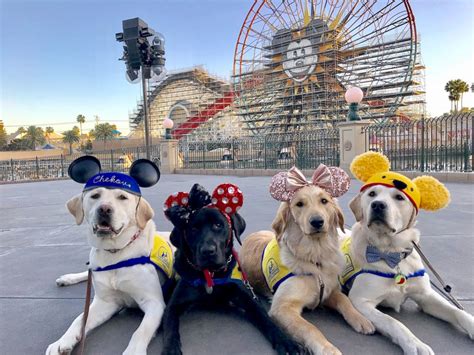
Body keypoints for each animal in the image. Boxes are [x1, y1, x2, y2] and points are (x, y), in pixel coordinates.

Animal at [45, 158, 172, 355]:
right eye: (95, 196)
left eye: (122, 197)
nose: (104, 209)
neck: (115, 252)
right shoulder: (106, 302)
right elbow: (79, 319)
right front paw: (63, 341)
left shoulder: (154, 302)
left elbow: (140, 331)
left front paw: (133, 351)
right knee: (88, 270)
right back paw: (67, 278)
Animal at [163, 185, 304, 354]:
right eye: (193, 229)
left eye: (218, 225)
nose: (208, 251)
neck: (211, 275)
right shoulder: (173, 305)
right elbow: (170, 328)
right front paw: (171, 349)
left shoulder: (247, 297)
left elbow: (266, 319)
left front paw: (286, 341)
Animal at [241, 167, 374, 355]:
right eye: (299, 204)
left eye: (324, 201)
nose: (317, 222)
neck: (315, 256)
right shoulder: (283, 307)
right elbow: (310, 328)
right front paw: (327, 349)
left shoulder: (329, 292)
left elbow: (345, 301)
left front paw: (361, 319)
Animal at [344, 153, 474, 355]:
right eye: (372, 194)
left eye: (399, 197)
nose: (378, 205)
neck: (391, 253)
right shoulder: (361, 300)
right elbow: (394, 322)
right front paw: (416, 344)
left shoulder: (426, 295)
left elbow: (457, 311)